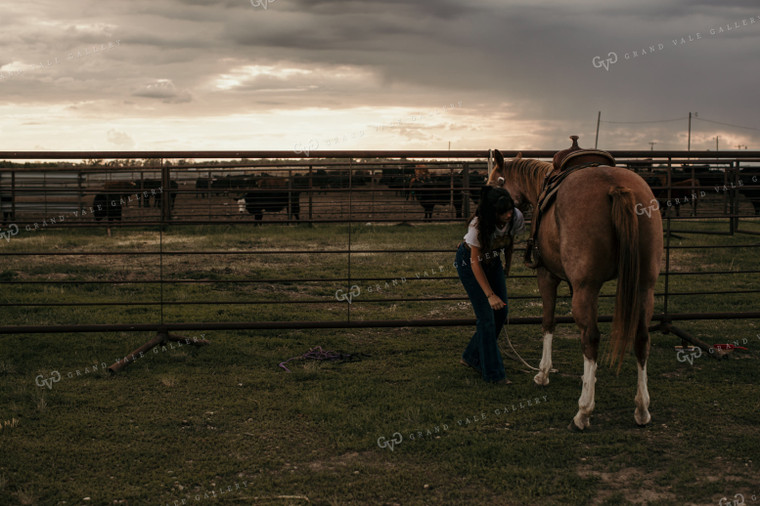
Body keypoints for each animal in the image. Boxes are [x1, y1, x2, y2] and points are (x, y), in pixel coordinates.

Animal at [490, 148, 664, 428]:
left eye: (495, 181)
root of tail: (616, 186)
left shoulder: (547, 276)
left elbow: (548, 322)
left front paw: (543, 373)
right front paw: (588, 379)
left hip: (587, 287)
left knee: (591, 337)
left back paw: (583, 411)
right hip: (644, 286)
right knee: (641, 337)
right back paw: (642, 408)